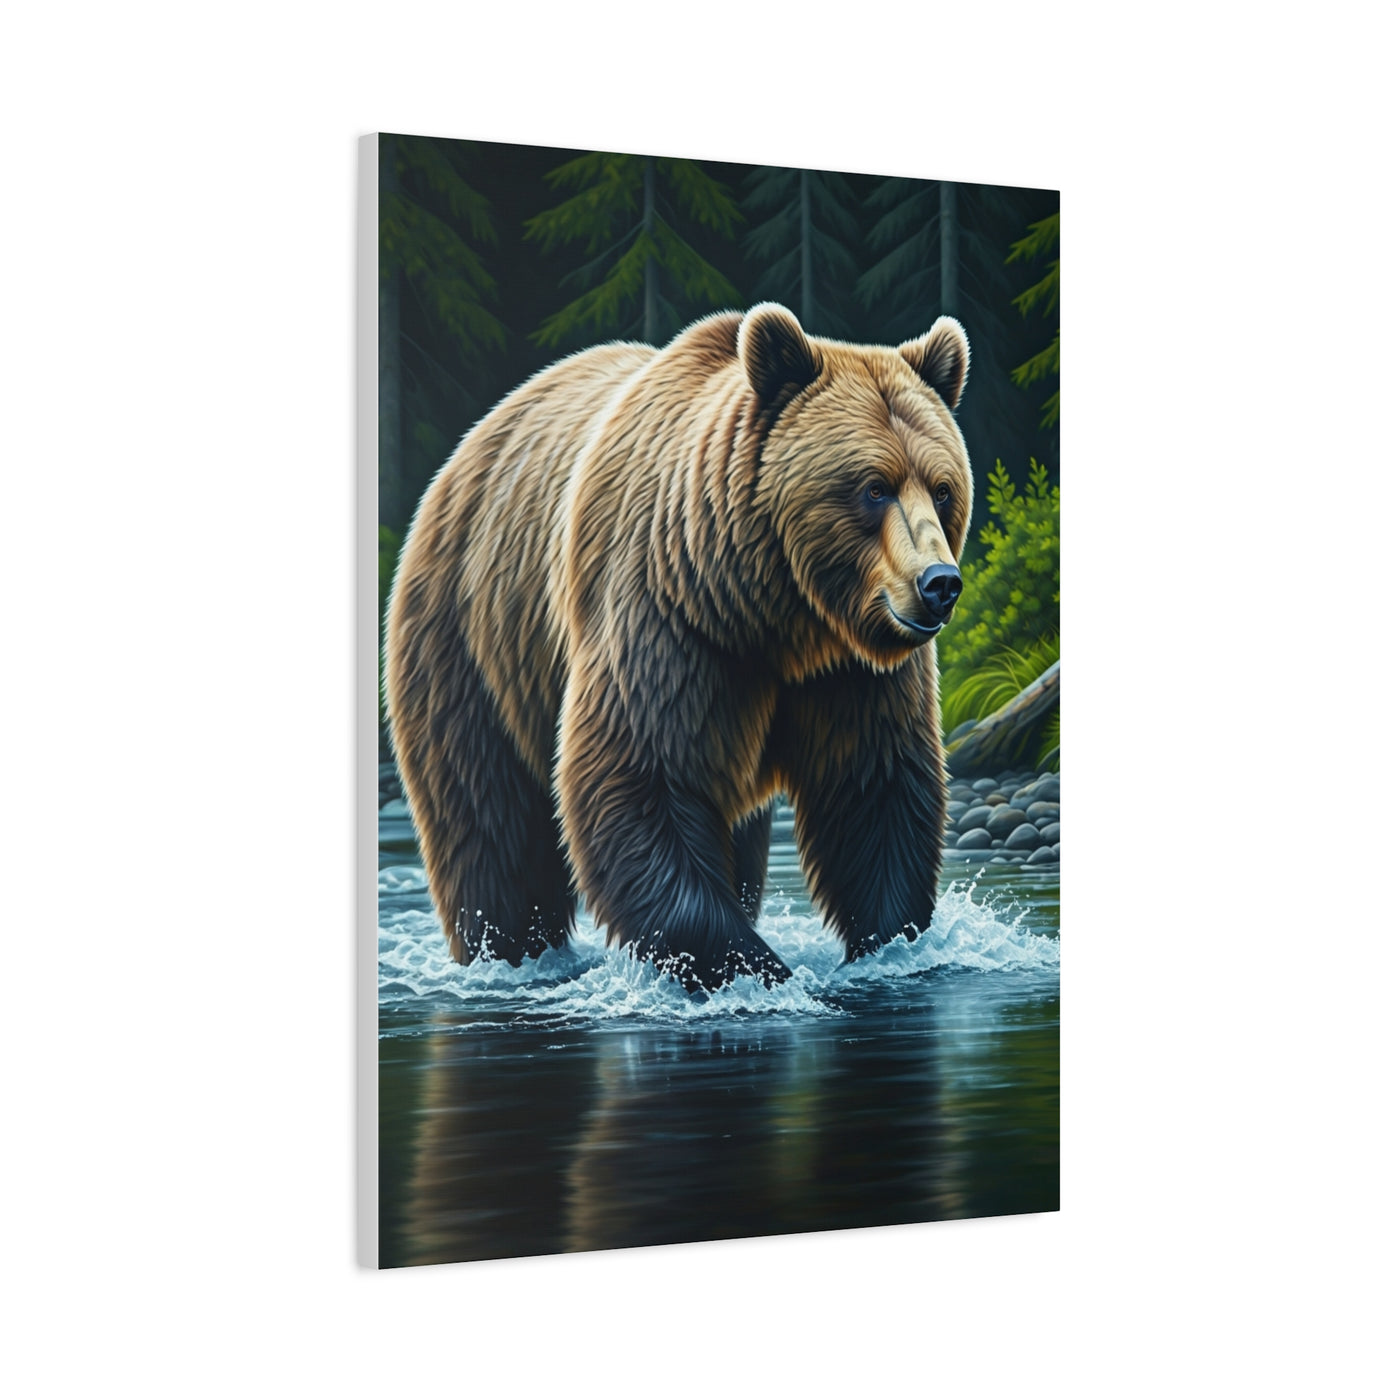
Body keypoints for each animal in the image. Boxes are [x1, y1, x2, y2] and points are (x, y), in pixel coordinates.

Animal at [386, 303, 973, 991]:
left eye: (941, 487)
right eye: (874, 487)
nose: (939, 584)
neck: (777, 614)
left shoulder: (852, 670)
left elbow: (875, 786)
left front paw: (888, 946)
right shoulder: (669, 616)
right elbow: (641, 776)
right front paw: (752, 967)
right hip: (473, 637)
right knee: (490, 820)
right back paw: (512, 951)